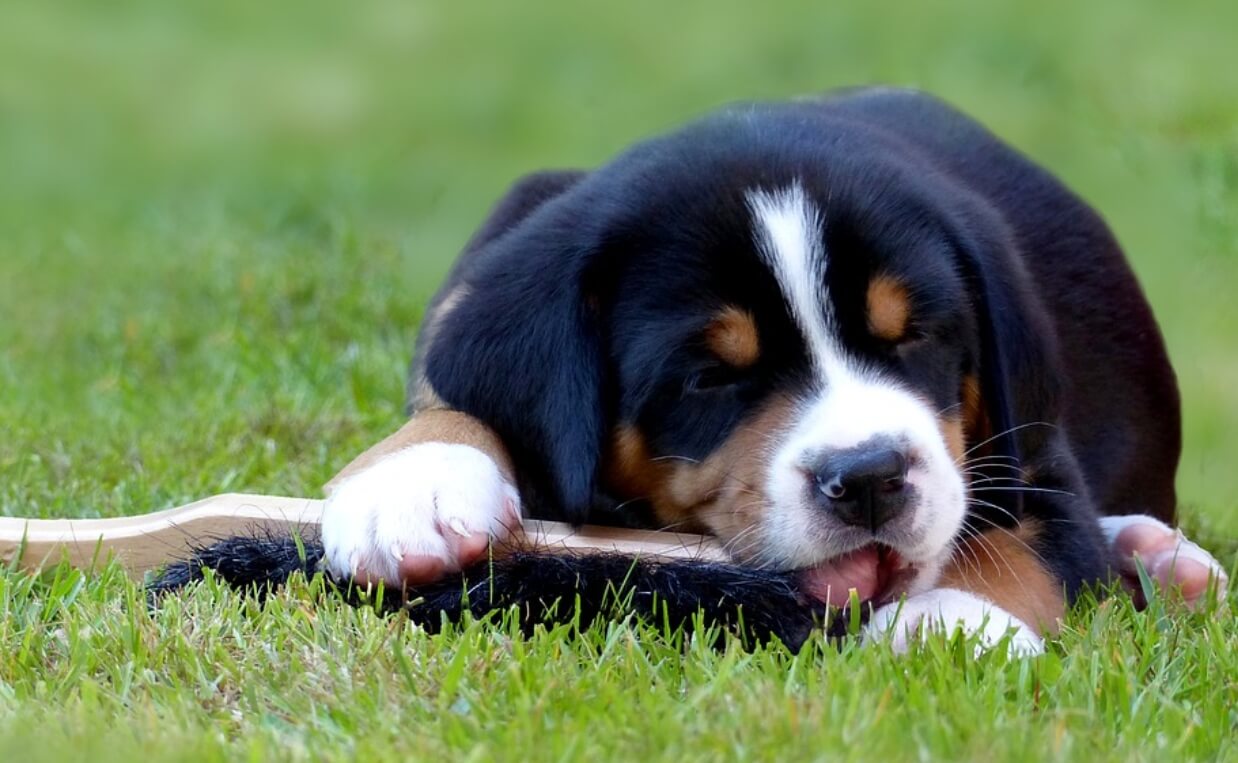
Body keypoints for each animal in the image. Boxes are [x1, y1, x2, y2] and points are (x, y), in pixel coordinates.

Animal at [319, 87, 1228, 649]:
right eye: (709, 378)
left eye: (914, 337)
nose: (870, 476)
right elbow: (453, 394)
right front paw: (415, 481)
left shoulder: (1034, 456)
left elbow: (1024, 544)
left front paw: (951, 623)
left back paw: (1162, 557)